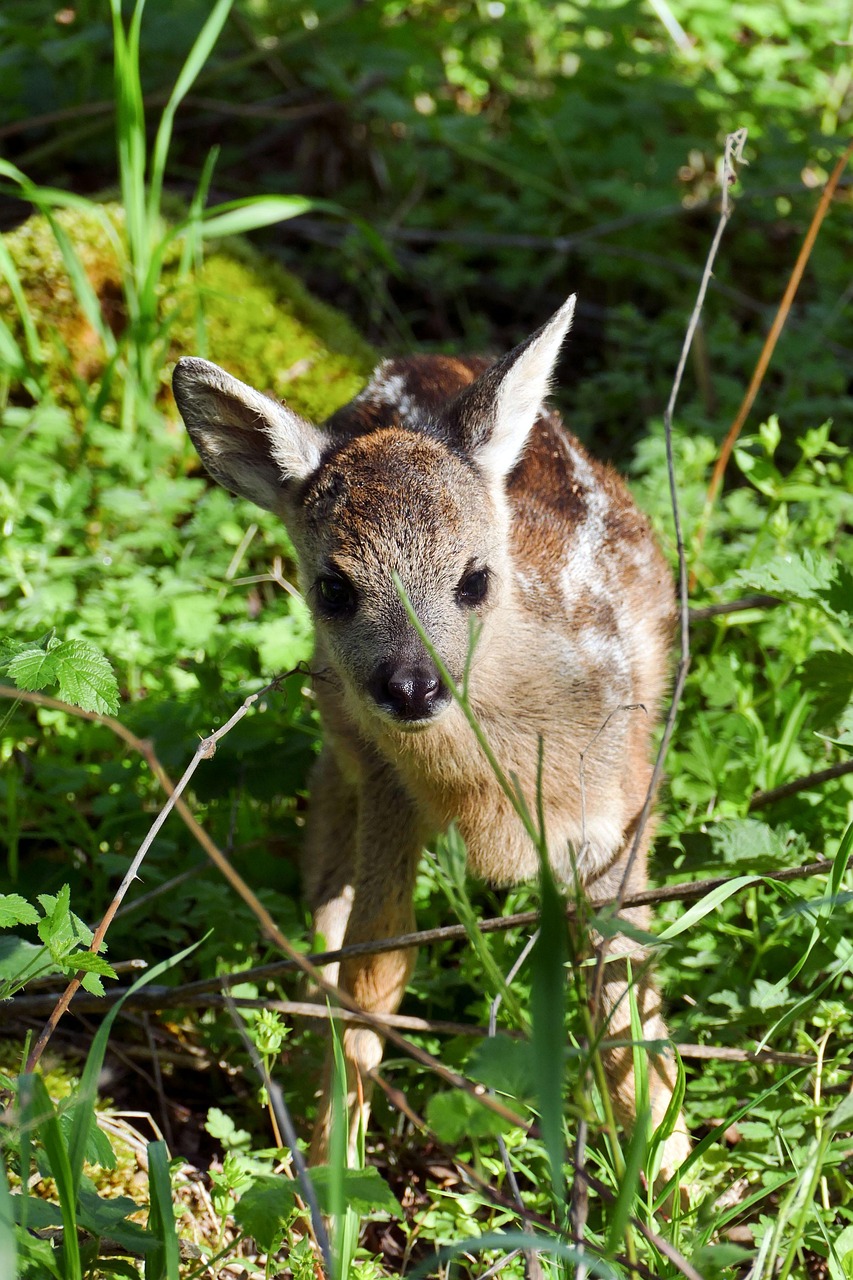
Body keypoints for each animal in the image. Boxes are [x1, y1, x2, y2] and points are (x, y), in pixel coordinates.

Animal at [172, 294, 691, 1189]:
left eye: (474, 578)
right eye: (333, 586)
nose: (412, 685)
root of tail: (416, 360)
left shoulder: (624, 812)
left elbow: (623, 980)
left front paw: (670, 1175)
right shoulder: (393, 793)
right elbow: (376, 971)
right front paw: (336, 1175)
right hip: (341, 716)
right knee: (329, 800)